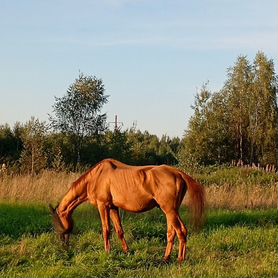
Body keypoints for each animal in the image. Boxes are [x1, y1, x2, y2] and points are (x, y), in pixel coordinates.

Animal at [48, 159, 204, 262]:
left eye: (56, 223)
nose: (63, 246)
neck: (96, 177)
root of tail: (179, 173)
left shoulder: (103, 205)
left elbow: (106, 230)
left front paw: (107, 252)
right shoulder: (113, 207)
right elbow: (119, 230)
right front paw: (126, 251)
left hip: (170, 210)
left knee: (181, 231)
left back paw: (180, 259)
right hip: (170, 211)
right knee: (173, 232)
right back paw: (166, 257)